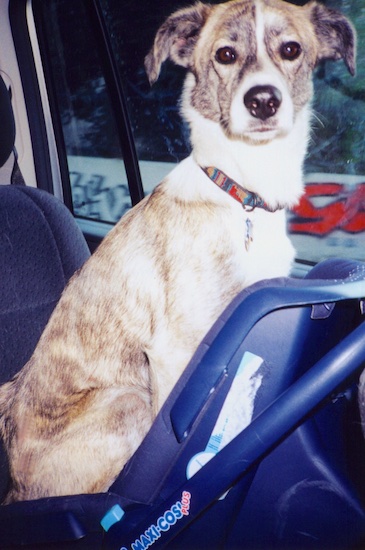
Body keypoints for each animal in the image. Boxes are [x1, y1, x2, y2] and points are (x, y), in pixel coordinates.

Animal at [0, 0, 352, 504]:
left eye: (291, 49)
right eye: (225, 54)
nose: (263, 101)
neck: (241, 192)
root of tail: (16, 487)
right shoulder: (172, 351)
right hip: (128, 398)